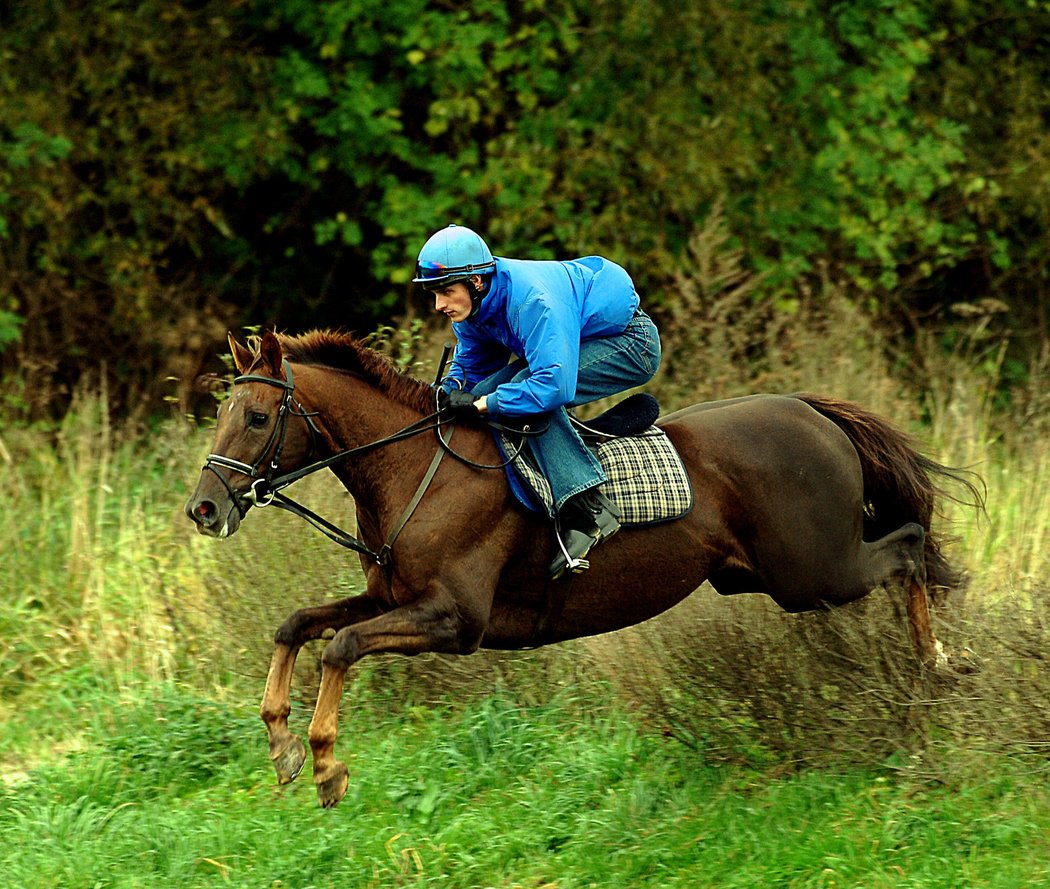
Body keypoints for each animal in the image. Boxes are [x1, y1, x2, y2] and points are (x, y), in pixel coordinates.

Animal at [184, 329, 978, 810]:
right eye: (221, 410)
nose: (203, 507)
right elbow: (298, 624)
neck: (414, 468)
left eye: (256, 418)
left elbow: (341, 647)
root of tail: (813, 409)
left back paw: (938, 661)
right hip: (770, 576)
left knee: (909, 544)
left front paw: (325, 763)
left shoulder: (455, 621)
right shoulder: (391, 597)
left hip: (815, 570)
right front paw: (282, 740)